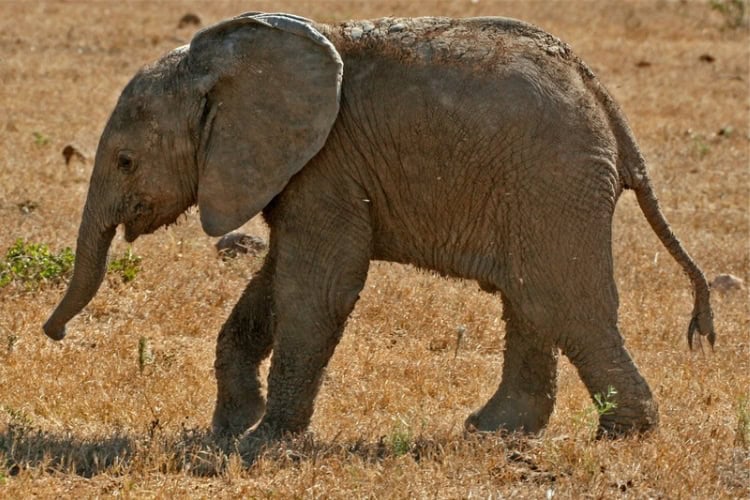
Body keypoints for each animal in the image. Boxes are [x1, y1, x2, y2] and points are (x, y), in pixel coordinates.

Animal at [43, 13, 715, 441]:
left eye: (126, 161)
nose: (53, 333)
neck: (223, 66)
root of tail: (606, 103)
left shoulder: (327, 164)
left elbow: (318, 288)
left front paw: (263, 442)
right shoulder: (297, 170)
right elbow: (272, 284)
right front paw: (225, 431)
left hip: (554, 180)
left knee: (562, 301)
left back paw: (623, 435)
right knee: (530, 298)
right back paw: (493, 431)